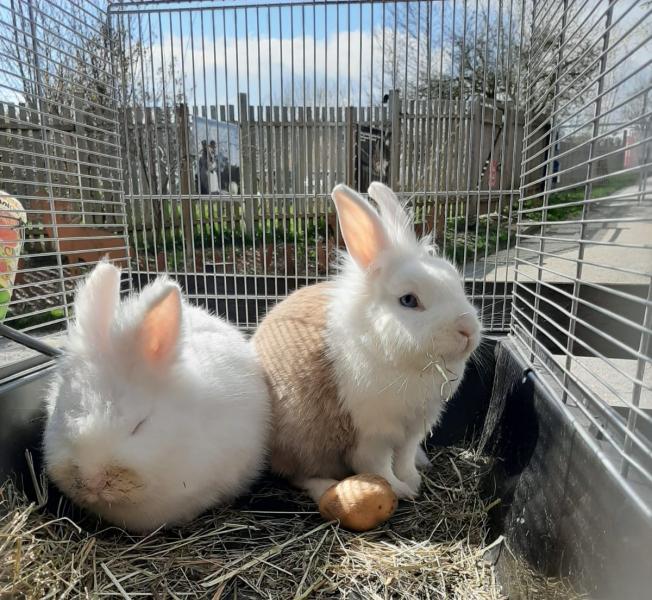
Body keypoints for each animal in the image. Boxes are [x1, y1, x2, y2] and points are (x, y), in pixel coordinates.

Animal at [253, 182, 481, 502]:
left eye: (456, 281)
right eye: (408, 300)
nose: (468, 330)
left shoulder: (414, 429)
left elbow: (405, 457)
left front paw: (413, 479)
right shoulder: (372, 434)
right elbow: (378, 466)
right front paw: (400, 490)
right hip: (305, 443)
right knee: (300, 474)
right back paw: (325, 487)